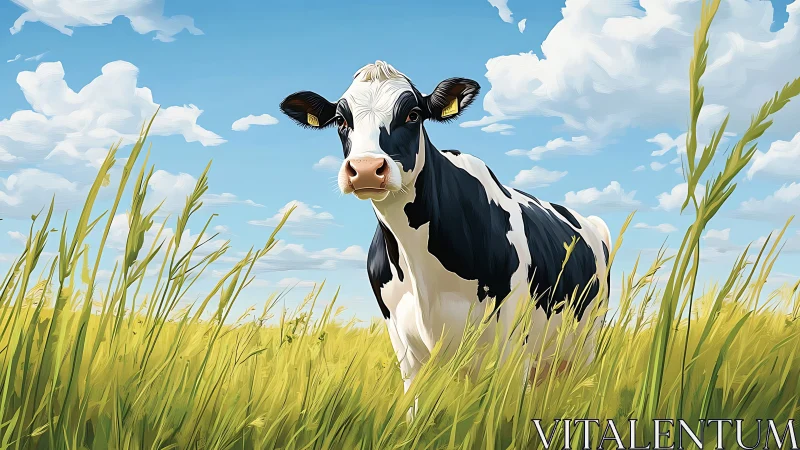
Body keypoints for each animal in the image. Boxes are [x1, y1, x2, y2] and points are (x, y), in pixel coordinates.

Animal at [279, 61, 611, 417]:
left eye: (412, 114)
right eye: (341, 120)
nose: (366, 169)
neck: (422, 270)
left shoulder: (511, 342)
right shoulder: (405, 348)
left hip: (585, 343)